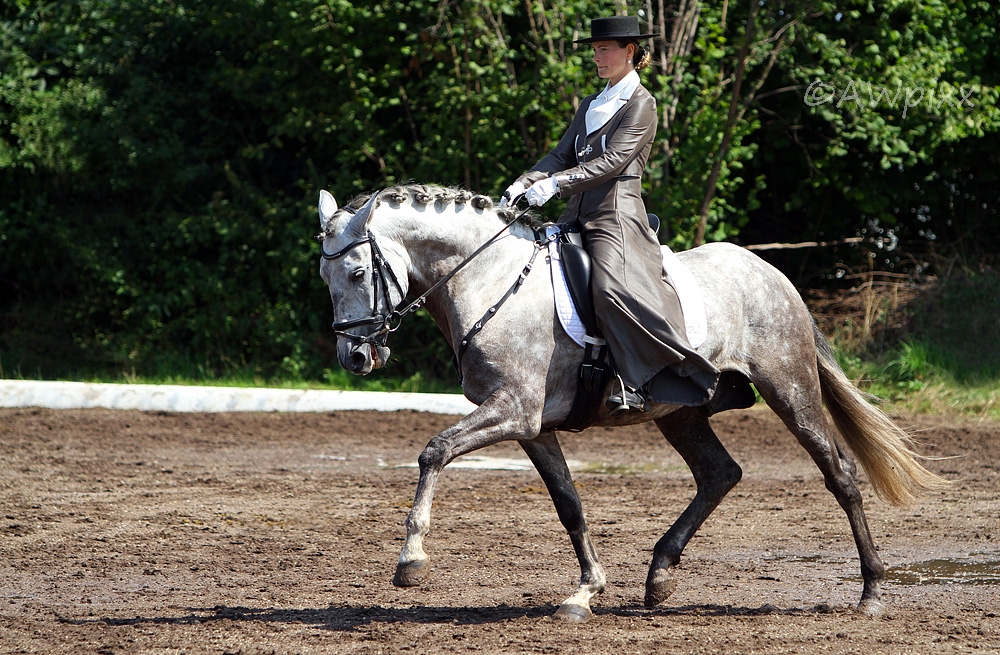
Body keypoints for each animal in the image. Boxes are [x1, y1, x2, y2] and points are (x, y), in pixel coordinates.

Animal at [316, 183, 948, 620]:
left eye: (357, 271)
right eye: (326, 280)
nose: (356, 358)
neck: (490, 280)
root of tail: (770, 271)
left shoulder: (512, 409)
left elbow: (434, 451)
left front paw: (411, 562)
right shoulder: (531, 426)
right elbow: (569, 504)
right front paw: (585, 591)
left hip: (789, 390)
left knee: (839, 474)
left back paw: (871, 592)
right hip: (684, 412)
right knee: (720, 474)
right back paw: (659, 575)